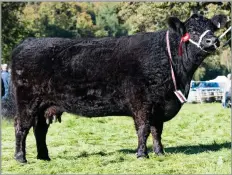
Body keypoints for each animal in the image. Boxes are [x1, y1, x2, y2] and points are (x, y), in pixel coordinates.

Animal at [7, 13, 227, 163]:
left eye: (212, 28)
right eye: (192, 30)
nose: (213, 40)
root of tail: (26, 43)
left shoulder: (160, 104)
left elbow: (157, 131)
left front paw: (160, 152)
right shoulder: (142, 102)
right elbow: (143, 129)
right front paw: (142, 154)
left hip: (45, 106)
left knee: (39, 130)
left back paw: (44, 156)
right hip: (27, 102)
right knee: (21, 127)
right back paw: (21, 158)